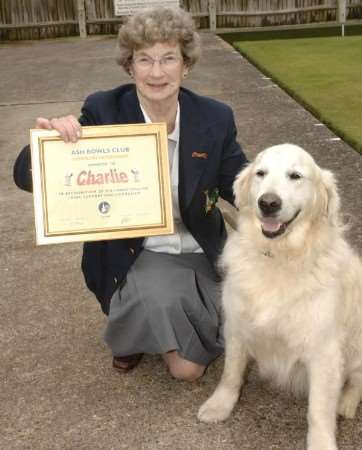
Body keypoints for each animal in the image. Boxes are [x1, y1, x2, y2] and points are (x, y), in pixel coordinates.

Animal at [198, 144, 362, 450]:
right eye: (260, 173)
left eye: (295, 176)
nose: (268, 203)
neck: (279, 256)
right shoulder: (236, 325)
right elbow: (230, 373)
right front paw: (219, 405)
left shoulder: (324, 350)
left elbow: (318, 410)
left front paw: (321, 442)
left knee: (356, 383)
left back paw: (345, 403)